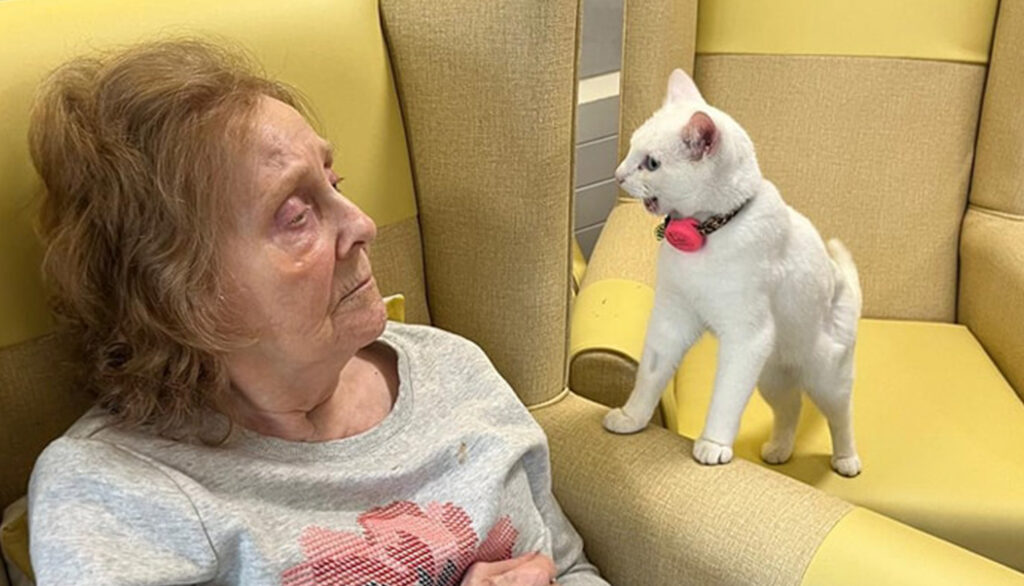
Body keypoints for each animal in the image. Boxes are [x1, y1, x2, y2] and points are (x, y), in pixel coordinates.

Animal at [604, 69, 862, 477]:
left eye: (652, 163)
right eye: (630, 148)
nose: (617, 175)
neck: (708, 233)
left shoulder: (746, 338)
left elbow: (725, 399)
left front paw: (712, 444)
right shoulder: (671, 318)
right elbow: (649, 374)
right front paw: (632, 418)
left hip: (827, 377)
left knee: (840, 417)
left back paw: (846, 459)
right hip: (771, 377)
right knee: (791, 407)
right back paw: (779, 449)